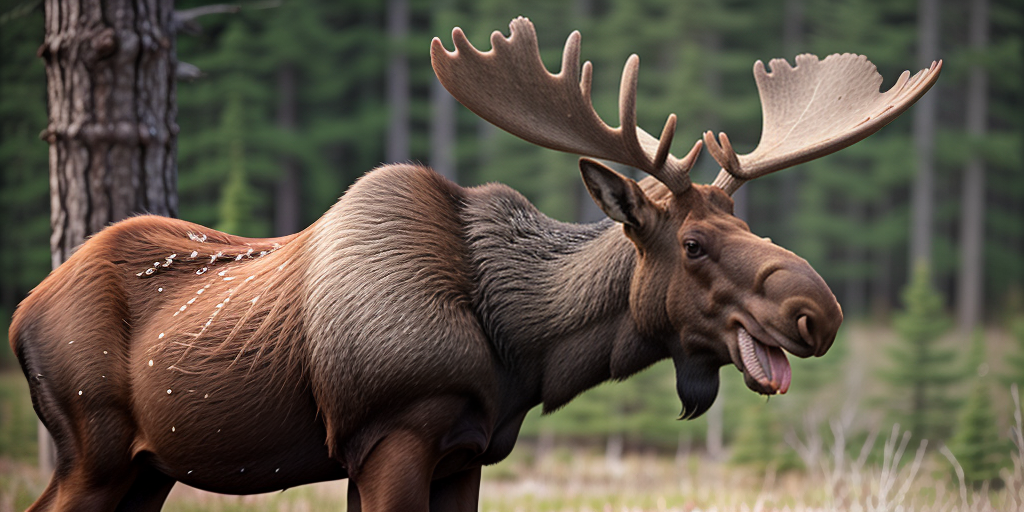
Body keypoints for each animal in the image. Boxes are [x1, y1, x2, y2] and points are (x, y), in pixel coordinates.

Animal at [10, 17, 939, 512]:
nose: (819, 311)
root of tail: (21, 315)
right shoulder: (392, 440)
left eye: (741, 218)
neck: (520, 348)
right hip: (94, 448)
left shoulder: (465, 453)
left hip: (149, 469)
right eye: (696, 243)